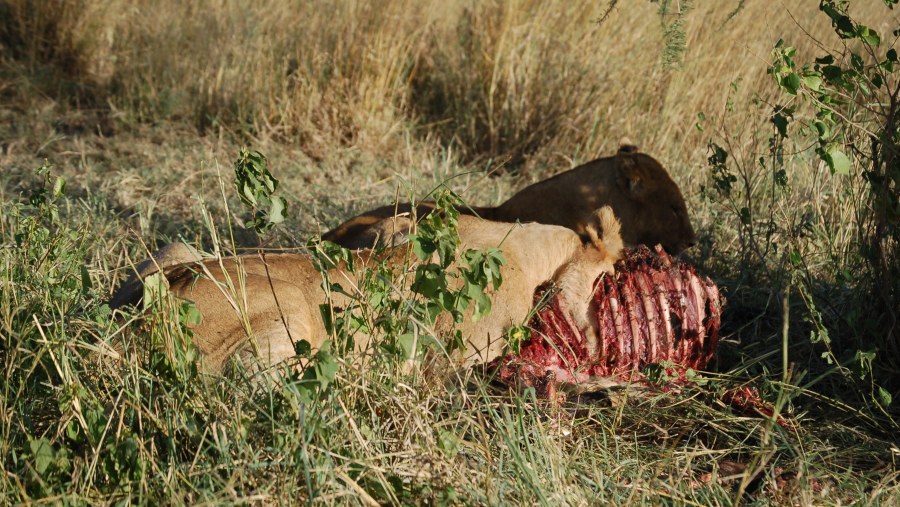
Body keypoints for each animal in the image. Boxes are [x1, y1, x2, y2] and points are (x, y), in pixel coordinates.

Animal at [112, 208, 624, 376]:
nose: (607, 352)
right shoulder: (457, 362)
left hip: (173, 251)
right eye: (612, 283)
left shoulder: (392, 228)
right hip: (290, 307)